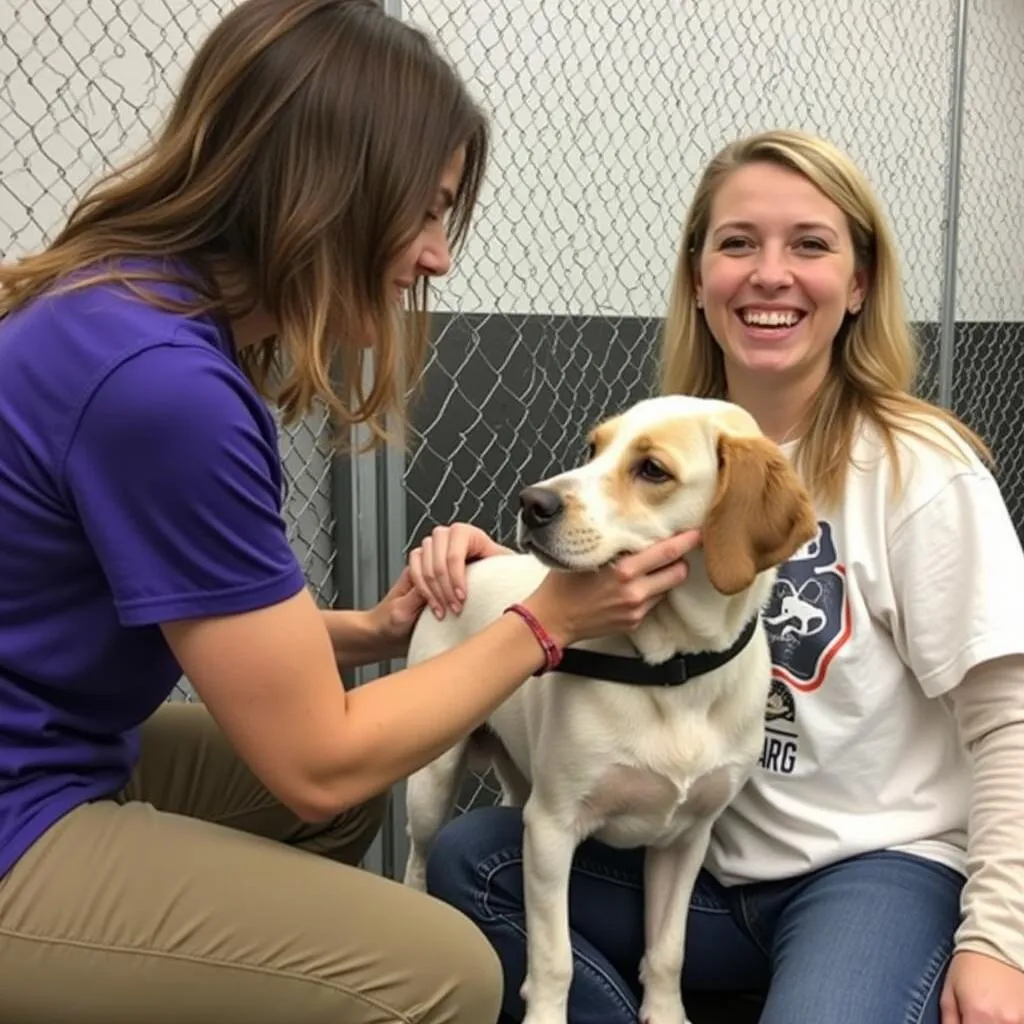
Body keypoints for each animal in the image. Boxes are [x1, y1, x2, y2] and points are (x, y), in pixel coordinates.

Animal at [399, 395, 815, 1024]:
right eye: (593, 449)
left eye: (652, 470)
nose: (532, 502)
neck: (673, 672)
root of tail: (469, 566)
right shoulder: (550, 830)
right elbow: (555, 960)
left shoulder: (686, 840)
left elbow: (668, 952)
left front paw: (665, 1014)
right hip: (433, 785)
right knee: (417, 861)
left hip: (519, 784)